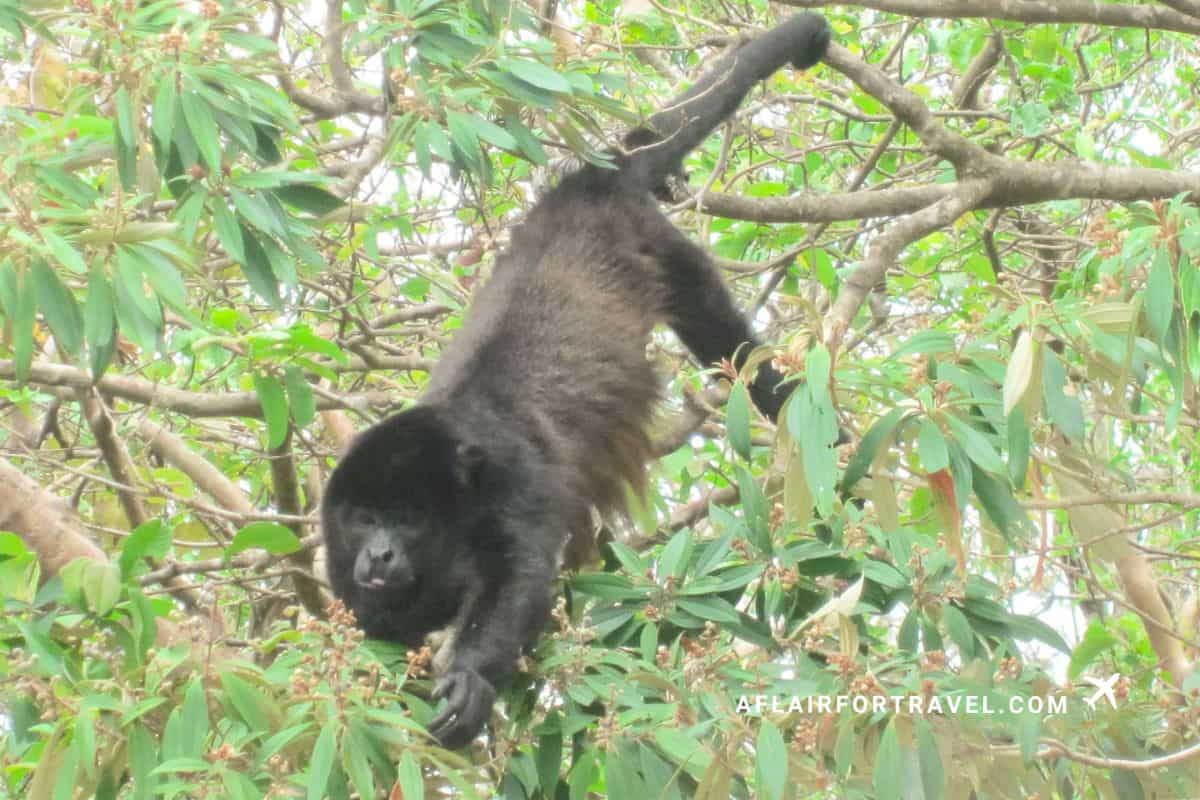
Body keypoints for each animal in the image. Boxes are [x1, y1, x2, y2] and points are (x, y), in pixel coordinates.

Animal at [321, 14, 831, 749]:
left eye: (409, 519)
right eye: (364, 520)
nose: (381, 555)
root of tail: (583, 186)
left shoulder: (515, 474)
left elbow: (521, 576)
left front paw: (470, 679)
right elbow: (373, 622)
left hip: (655, 245)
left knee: (728, 343)